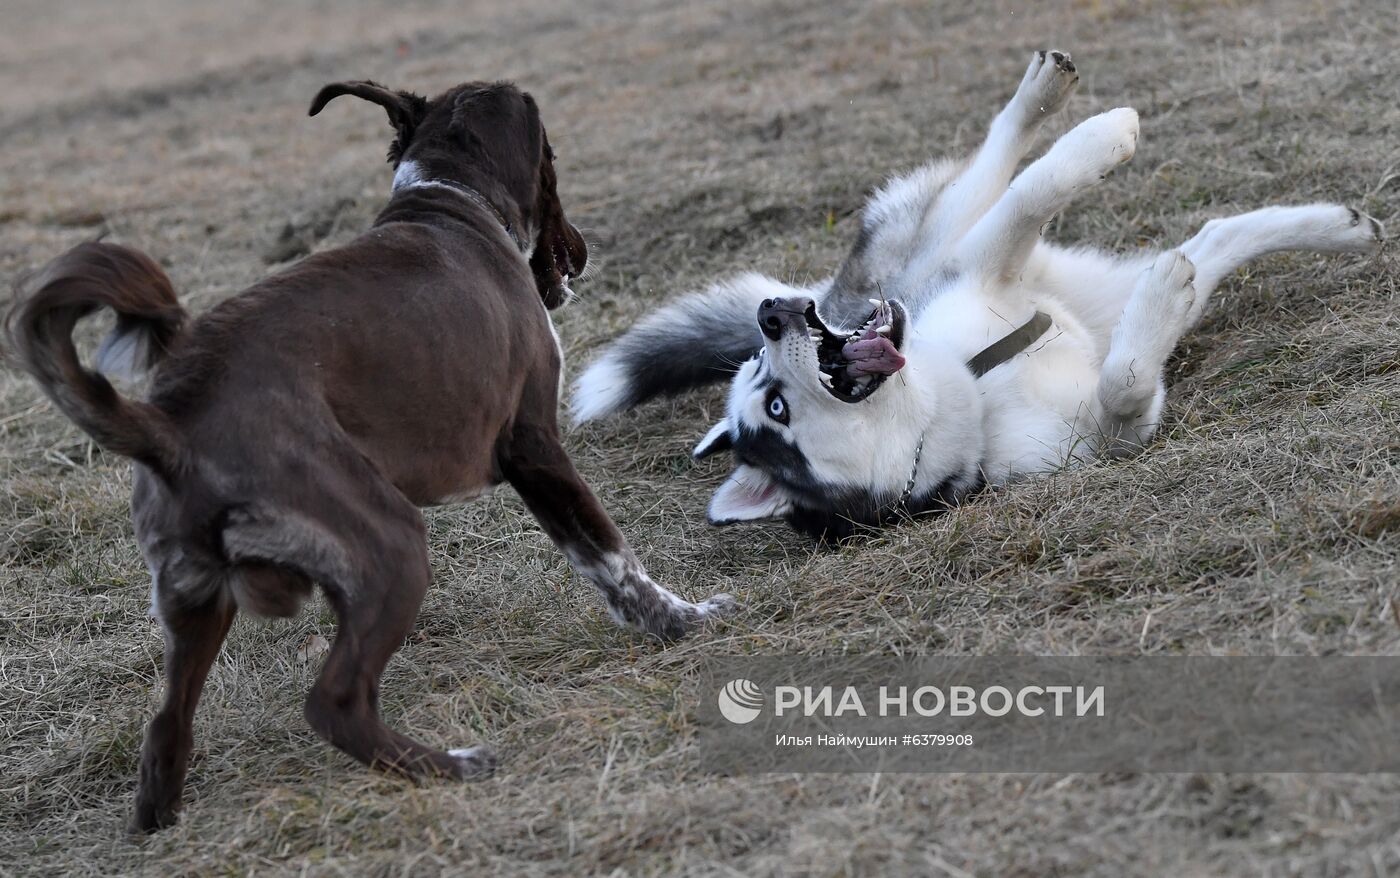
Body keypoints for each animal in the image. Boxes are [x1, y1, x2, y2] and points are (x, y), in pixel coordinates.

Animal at [5, 80, 733, 828]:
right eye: (552, 155)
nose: (582, 252)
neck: (450, 198)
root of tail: (169, 426)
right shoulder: (535, 449)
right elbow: (612, 557)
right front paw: (682, 622)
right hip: (390, 546)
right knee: (335, 702)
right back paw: (452, 767)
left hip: (198, 605)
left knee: (163, 736)